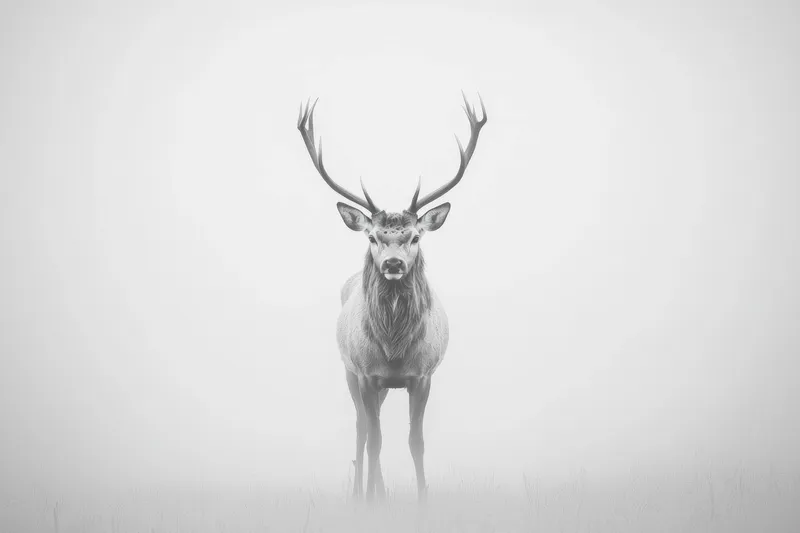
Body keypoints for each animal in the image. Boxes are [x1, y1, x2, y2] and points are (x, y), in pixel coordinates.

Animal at [296, 93, 487, 502]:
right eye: (372, 236)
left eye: (415, 236)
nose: (394, 263)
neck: (395, 350)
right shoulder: (367, 374)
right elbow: (375, 441)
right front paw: (371, 502)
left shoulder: (424, 374)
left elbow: (416, 442)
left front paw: (422, 501)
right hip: (350, 370)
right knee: (362, 430)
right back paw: (362, 495)